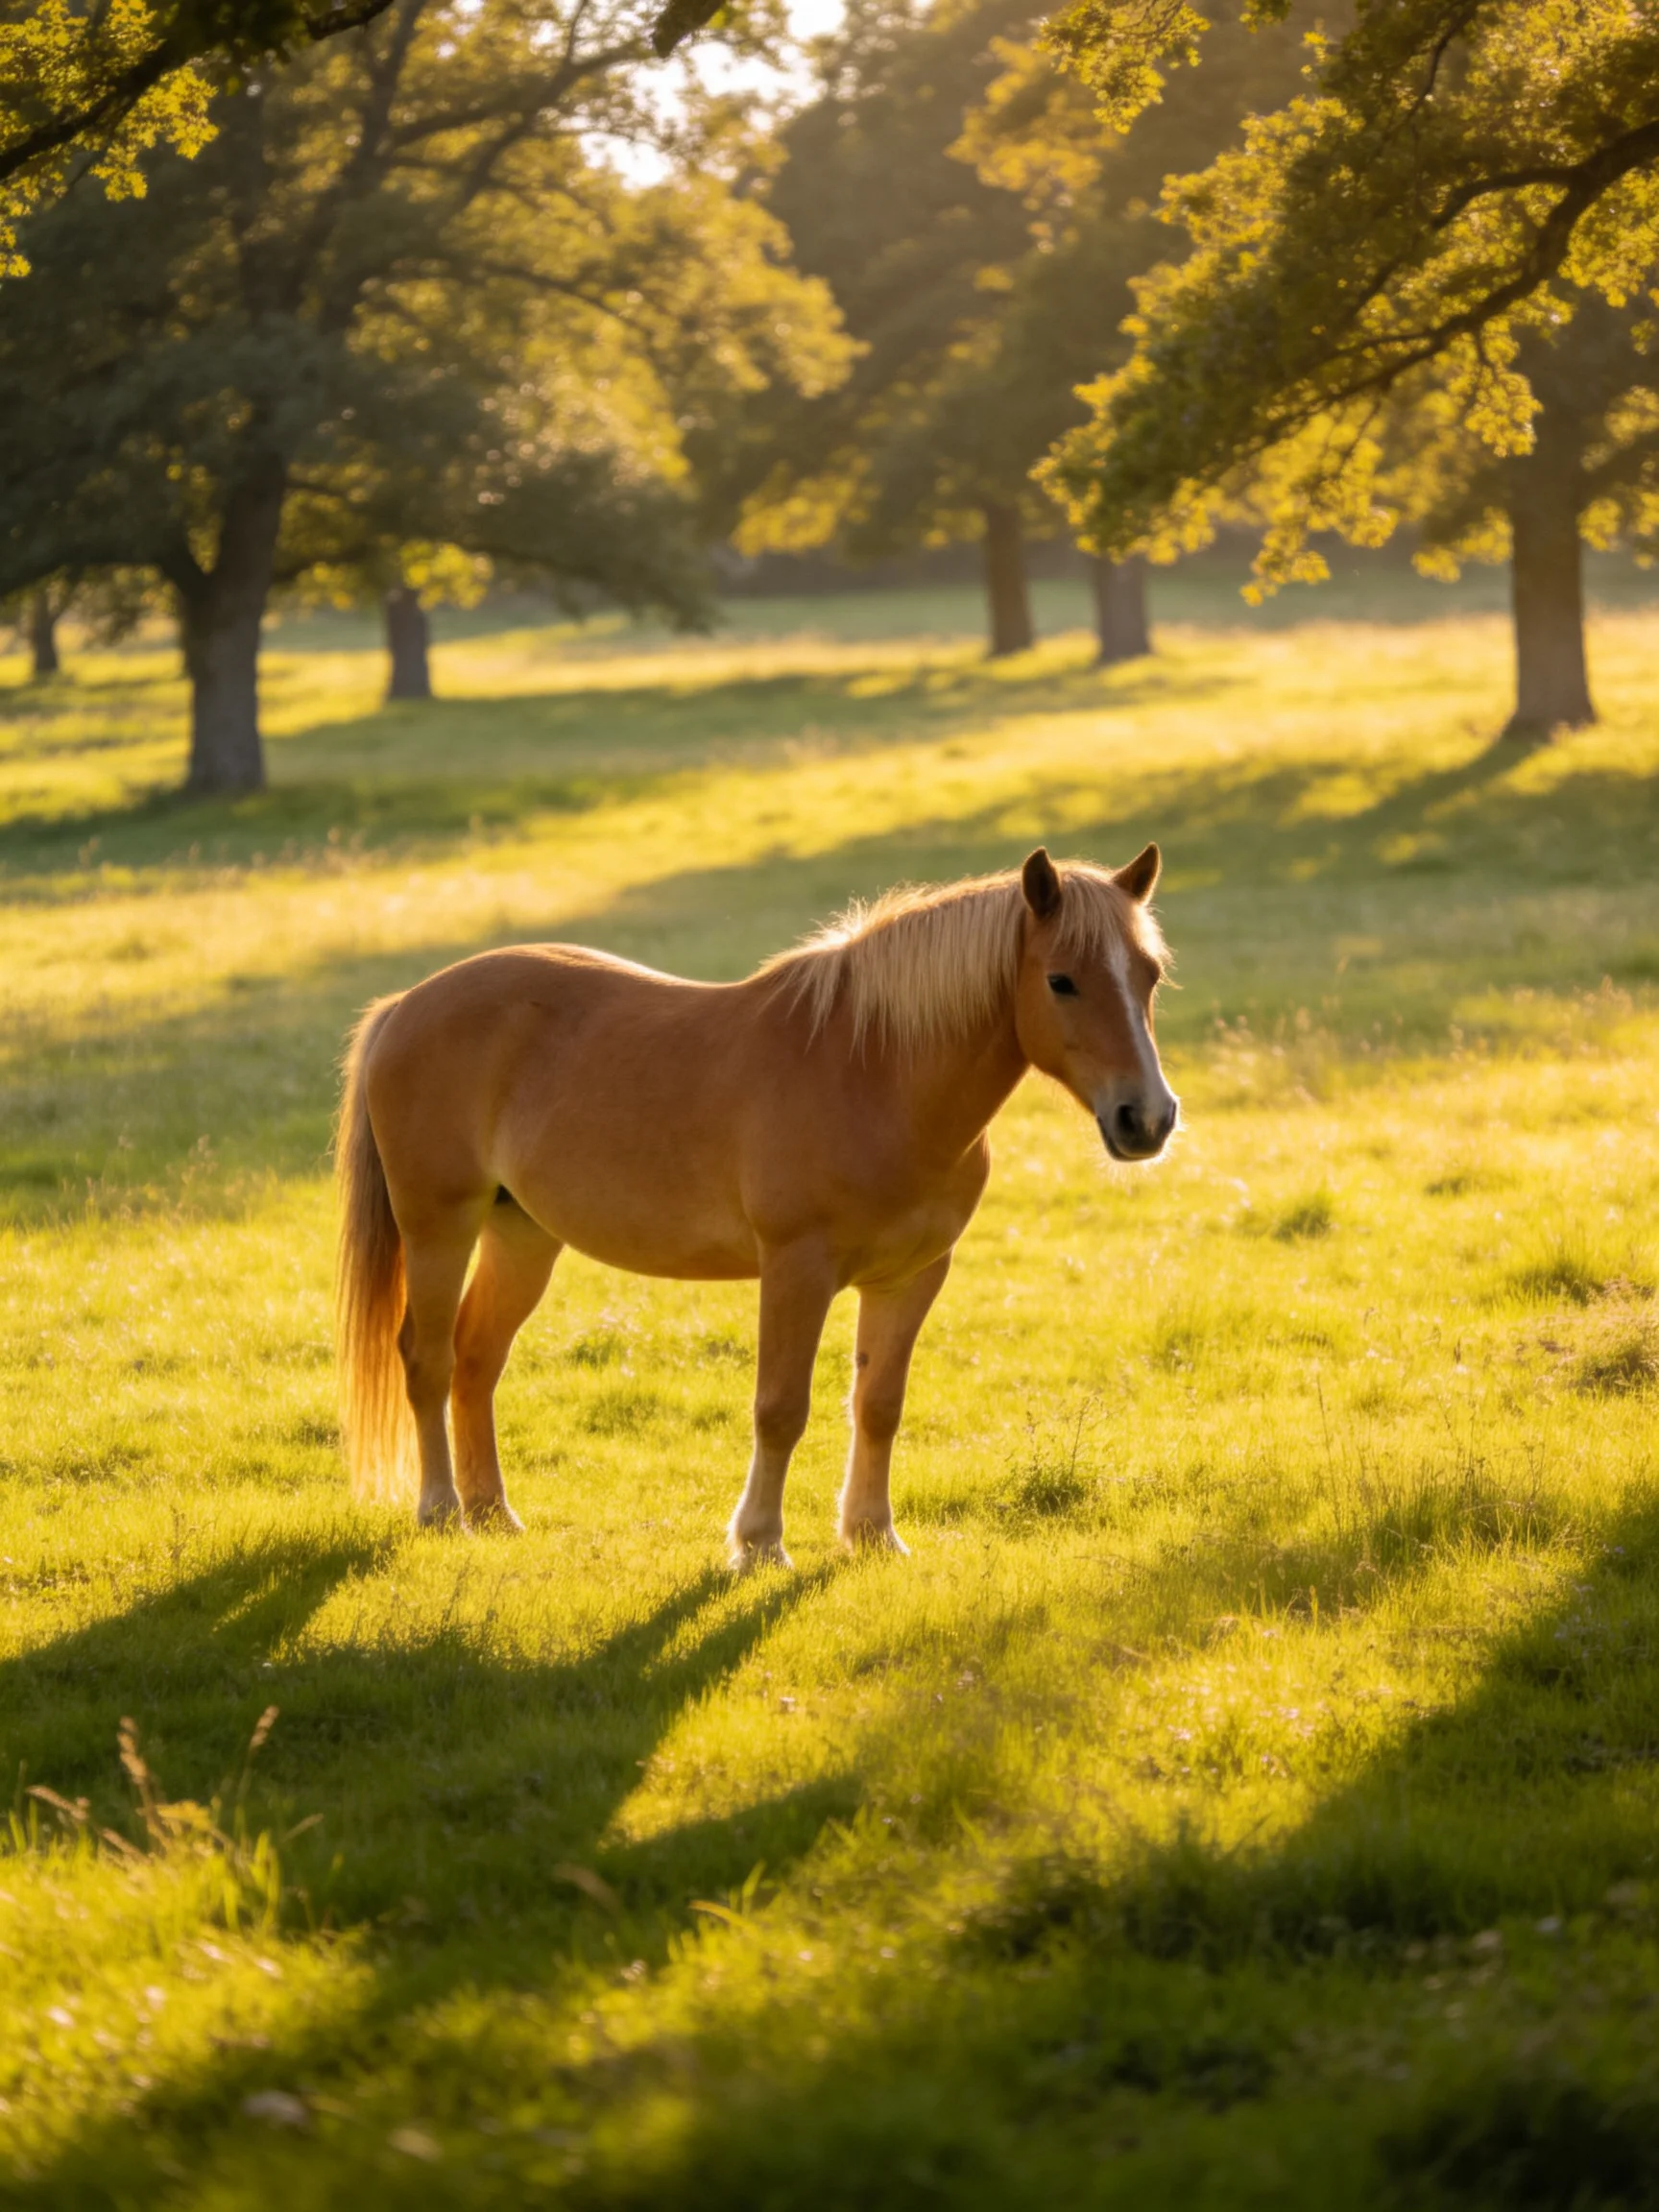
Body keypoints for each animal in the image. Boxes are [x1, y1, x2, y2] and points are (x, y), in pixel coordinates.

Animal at [334, 844, 1178, 1566]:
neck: (875, 1078)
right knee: (428, 1357)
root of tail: (405, 1005)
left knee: (478, 1357)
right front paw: (761, 1544)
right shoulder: (796, 1271)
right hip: (438, 1225)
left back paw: (493, 1513)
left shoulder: (911, 1277)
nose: (1147, 1119)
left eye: (1149, 975)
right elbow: (780, 1407)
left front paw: (872, 1535)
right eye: (1061, 980)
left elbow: (879, 1403)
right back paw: (442, 1511)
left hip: (523, 1233)